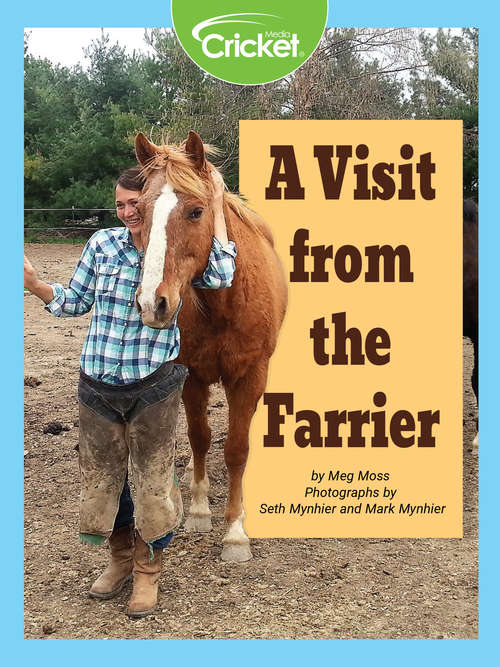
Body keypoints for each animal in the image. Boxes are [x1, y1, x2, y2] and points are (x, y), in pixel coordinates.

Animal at [135, 132, 288, 564]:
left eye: (196, 211)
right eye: (140, 211)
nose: (153, 303)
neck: (225, 302)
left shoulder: (251, 375)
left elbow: (237, 448)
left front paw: (235, 531)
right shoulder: (193, 375)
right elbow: (200, 436)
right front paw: (201, 512)